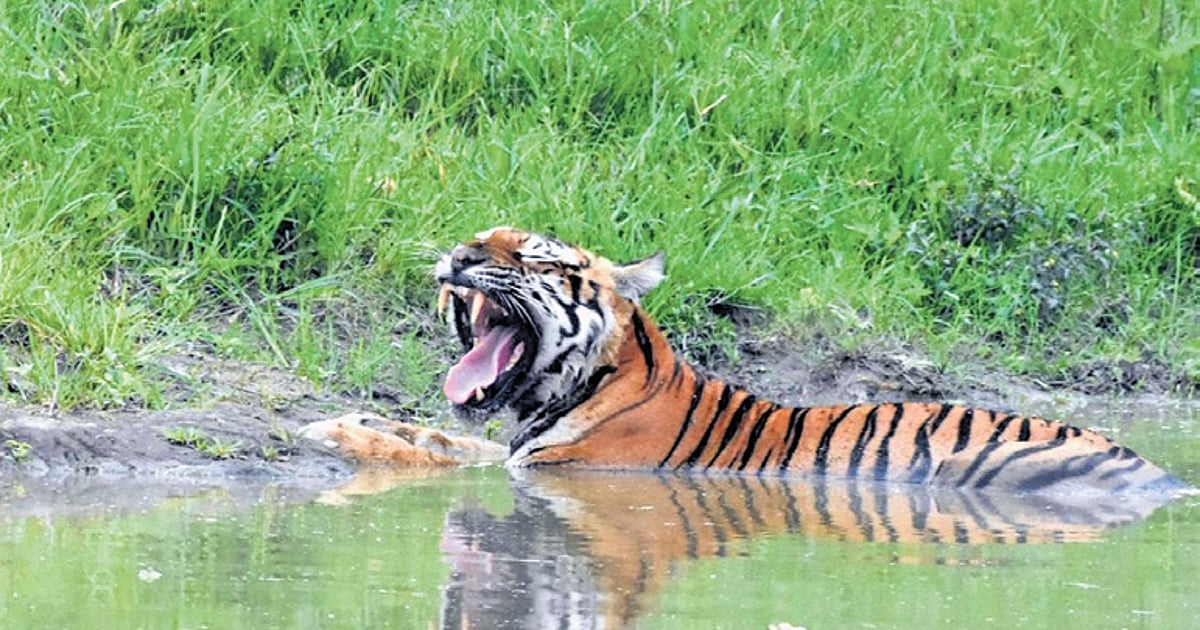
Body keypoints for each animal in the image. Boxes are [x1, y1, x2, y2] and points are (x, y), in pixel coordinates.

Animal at [300, 227, 1192, 497]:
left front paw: (332, 434)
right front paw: (353, 416)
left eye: (534, 256)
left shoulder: (564, 470)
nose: (457, 256)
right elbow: (445, 439)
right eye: (482, 237)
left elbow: (439, 457)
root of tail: (1162, 474)